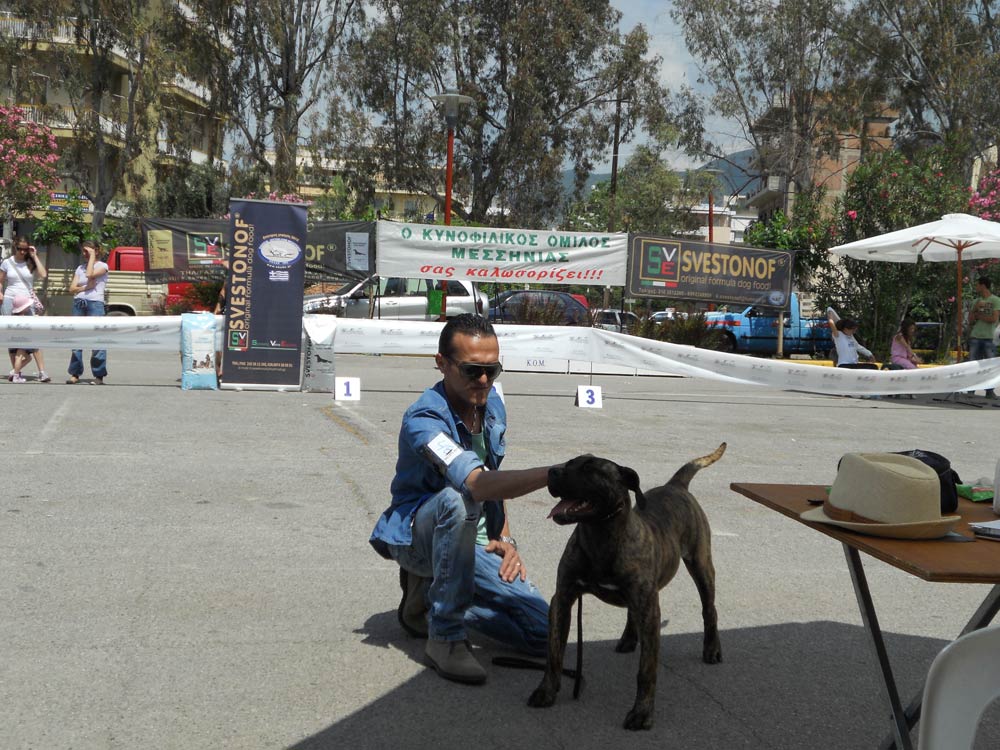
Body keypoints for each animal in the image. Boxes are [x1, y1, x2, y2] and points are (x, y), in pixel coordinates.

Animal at [527, 443, 725, 730]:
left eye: (590, 469)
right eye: (568, 462)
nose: (551, 472)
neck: (600, 536)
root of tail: (676, 485)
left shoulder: (649, 609)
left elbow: (646, 670)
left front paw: (642, 713)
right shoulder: (563, 598)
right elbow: (554, 652)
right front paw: (546, 691)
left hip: (700, 565)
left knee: (709, 609)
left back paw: (712, 649)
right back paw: (629, 638)